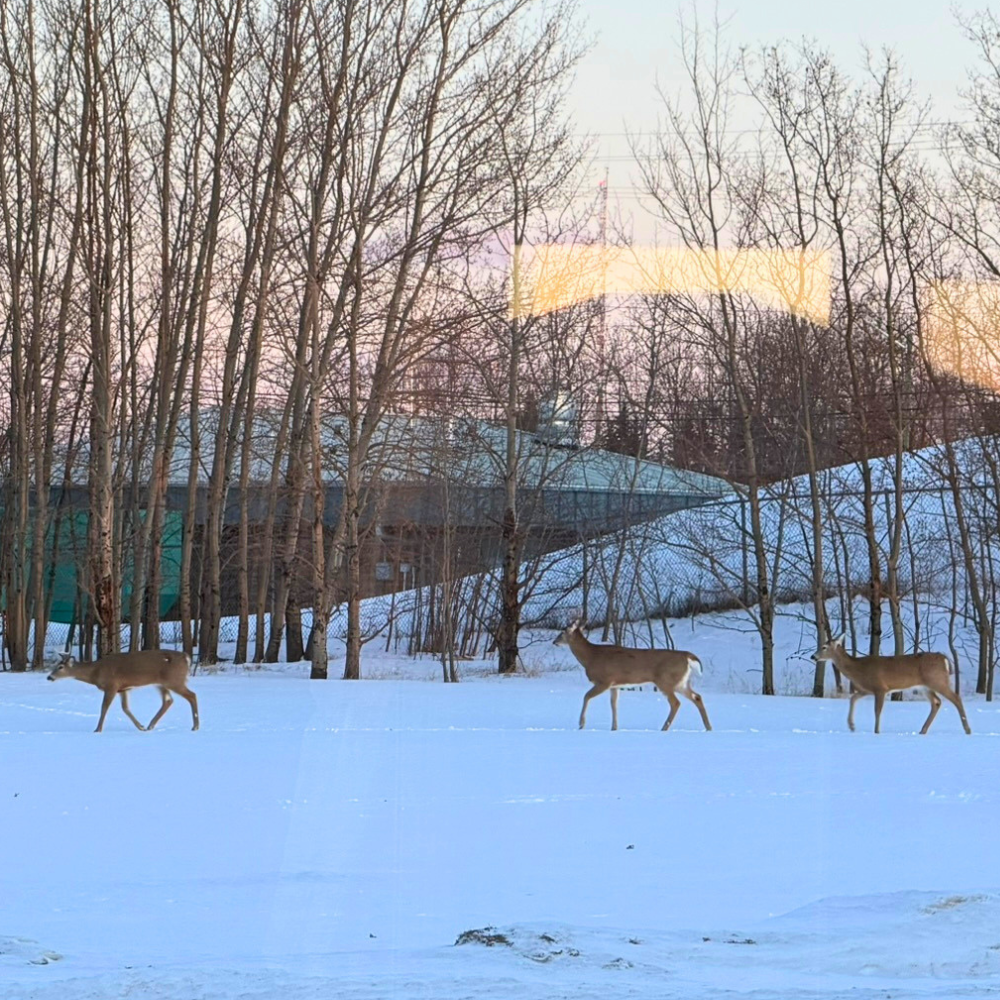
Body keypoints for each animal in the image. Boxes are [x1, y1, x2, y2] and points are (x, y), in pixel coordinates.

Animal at [47, 649, 199, 733]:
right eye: (55, 665)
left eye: (60, 667)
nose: (49, 677)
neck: (95, 673)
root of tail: (186, 657)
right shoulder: (122, 688)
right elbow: (125, 708)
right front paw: (140, 726)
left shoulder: (112, 685)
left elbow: (104, 707)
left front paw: (97, 729)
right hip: (161, 683)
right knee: (168, 700)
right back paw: (150, 725)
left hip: (174, 680)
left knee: (192, 695)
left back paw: (195, 726)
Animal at [554, 619, 711, 732]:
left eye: (563, 631)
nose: (554, 641)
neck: (590, 657)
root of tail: (687, 656)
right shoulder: (615, 685)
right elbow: (614, 704)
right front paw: (614, 728)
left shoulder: (604, 680)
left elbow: (586, 696)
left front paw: (581, 724)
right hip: (681, 682)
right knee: (697, 697)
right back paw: (709, 727)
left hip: (665, 680)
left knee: (676, 702)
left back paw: (664, 728)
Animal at [814, 635, 971, 735]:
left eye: (824, 647)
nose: (813, 656)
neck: (858, 669)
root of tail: (945, 659)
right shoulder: (867, 689)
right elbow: (853, 699)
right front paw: (852, 726)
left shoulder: (880, 688)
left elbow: (877, 711)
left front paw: (876, 732)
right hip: (925, 686)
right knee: (936, 702)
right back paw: (922, 730)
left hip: (937, 680)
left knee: (956, 698)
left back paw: (967, 730)